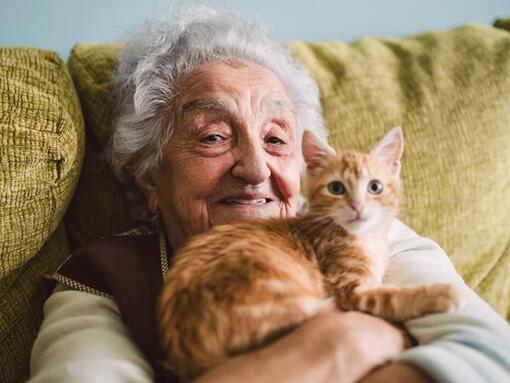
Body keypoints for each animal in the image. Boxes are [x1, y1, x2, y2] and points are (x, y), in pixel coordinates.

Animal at [156, 127, 462, 380]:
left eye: (374, 187)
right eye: (336, 188)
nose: (357, 207)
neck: (363, 239)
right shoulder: (348, 290)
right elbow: (390, 297)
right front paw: (441, 293)